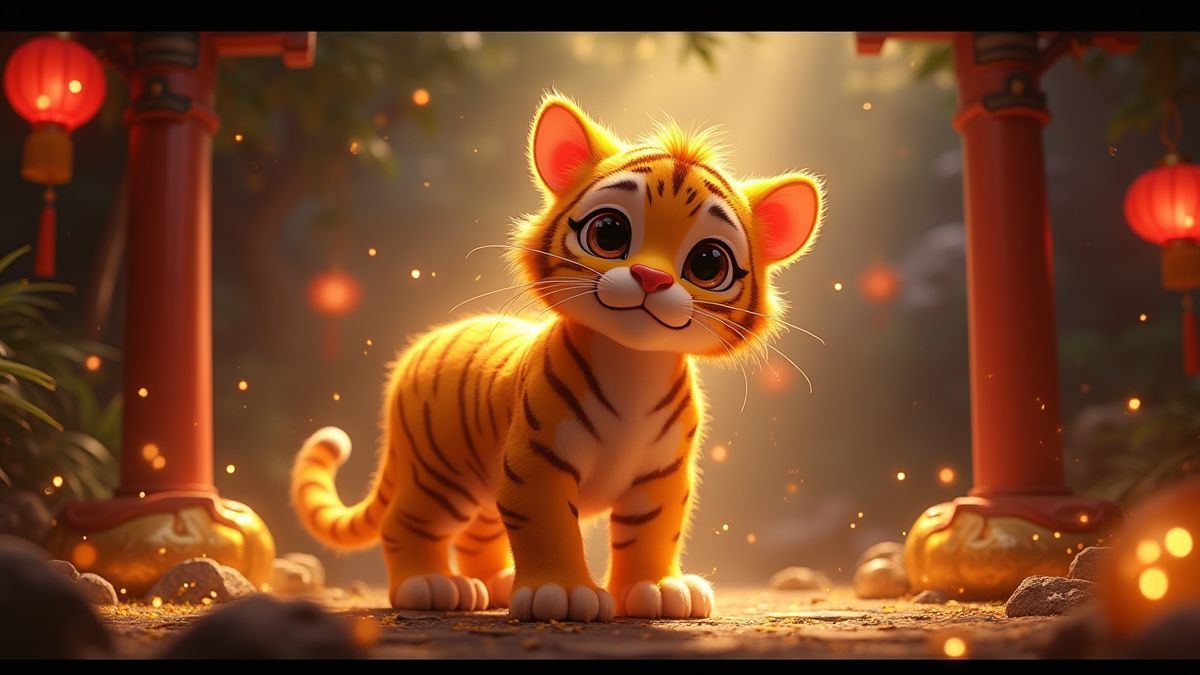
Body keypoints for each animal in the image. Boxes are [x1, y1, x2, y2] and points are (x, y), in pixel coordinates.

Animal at [290, 92, 825, 622]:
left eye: (708, 263)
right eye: (609, 233)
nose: (652, 278)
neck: (634, 363)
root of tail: (416, 349)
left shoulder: (661, 475)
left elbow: (652, 531)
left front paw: (657, 588)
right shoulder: (537, 461)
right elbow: (545, 524)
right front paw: (560, 592)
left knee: (478, 535)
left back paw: (496, 584)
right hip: (440, 474)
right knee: (405, 522)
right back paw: (430, 585)